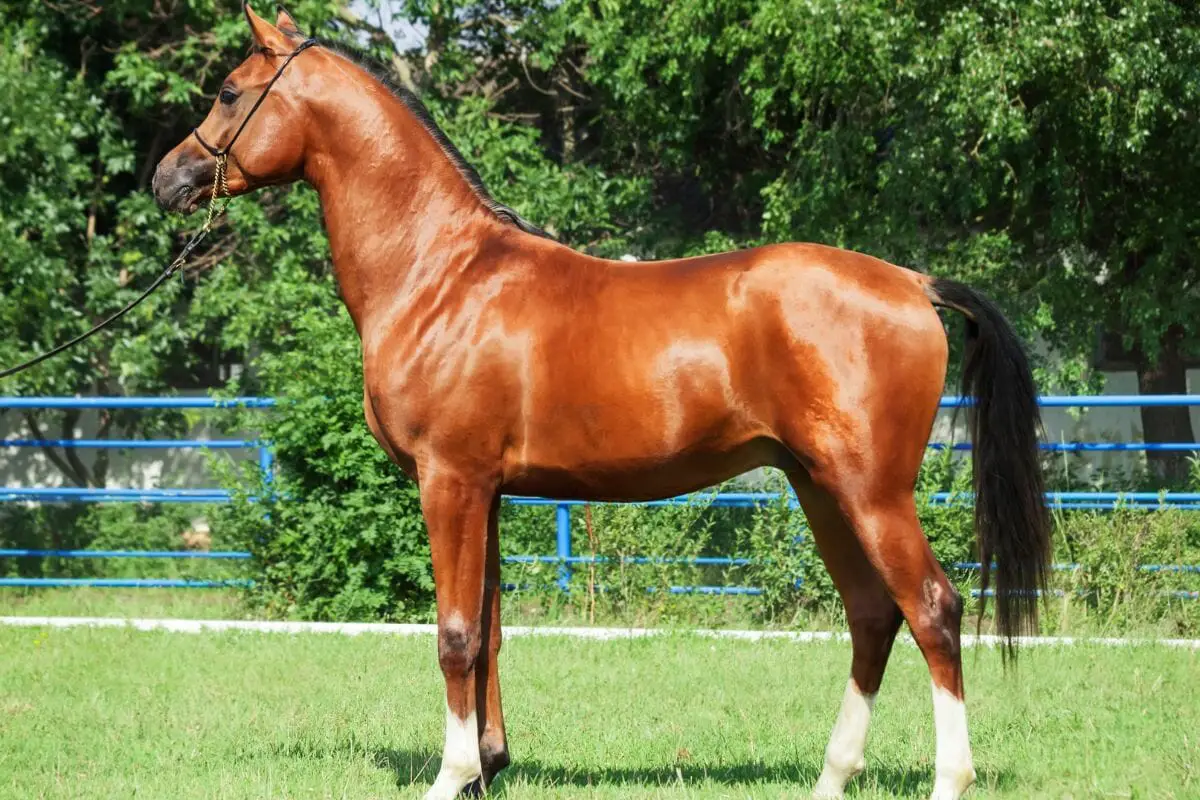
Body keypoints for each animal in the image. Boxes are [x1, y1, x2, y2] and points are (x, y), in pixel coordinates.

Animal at [153, 6, 1050, 799]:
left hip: (871, 491)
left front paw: (451, 776)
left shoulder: (449, 482)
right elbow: (490, 631)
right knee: (871, 615)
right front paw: (489, 768)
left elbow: (454, 635)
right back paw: (832, 778)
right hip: (818, 485)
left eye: (229, 92)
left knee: (932, 609)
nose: (167, 178)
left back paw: (947, 779)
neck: (440, 273)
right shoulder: (488, 492)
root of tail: (911, 282)